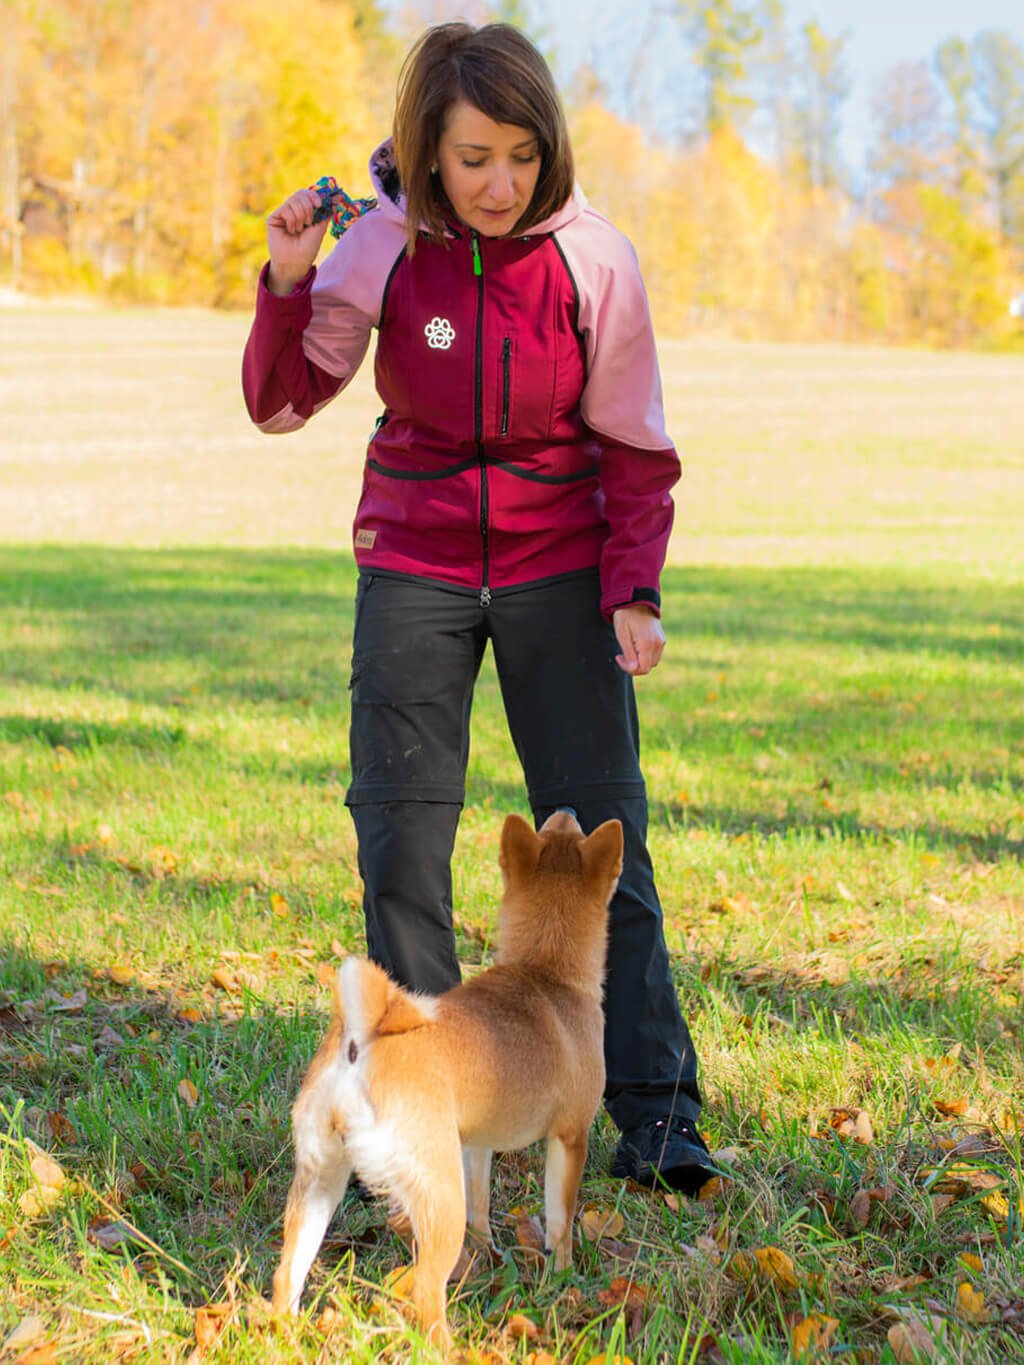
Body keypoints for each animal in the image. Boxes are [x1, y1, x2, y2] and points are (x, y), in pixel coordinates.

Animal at [273, 808, 622, 1343]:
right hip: (435, 1199)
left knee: (287, 1272)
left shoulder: (476, 1146)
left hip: (320, 1186)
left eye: (560, 830)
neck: (545, 971)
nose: (565, 810)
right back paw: (444, 1344)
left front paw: (488, 1254)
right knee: (424, 1289)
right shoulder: (569, 1138)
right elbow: (560, 1221)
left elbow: (482, 1207)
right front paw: (563, 1278)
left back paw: (284, 1333)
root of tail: (359, 1044)